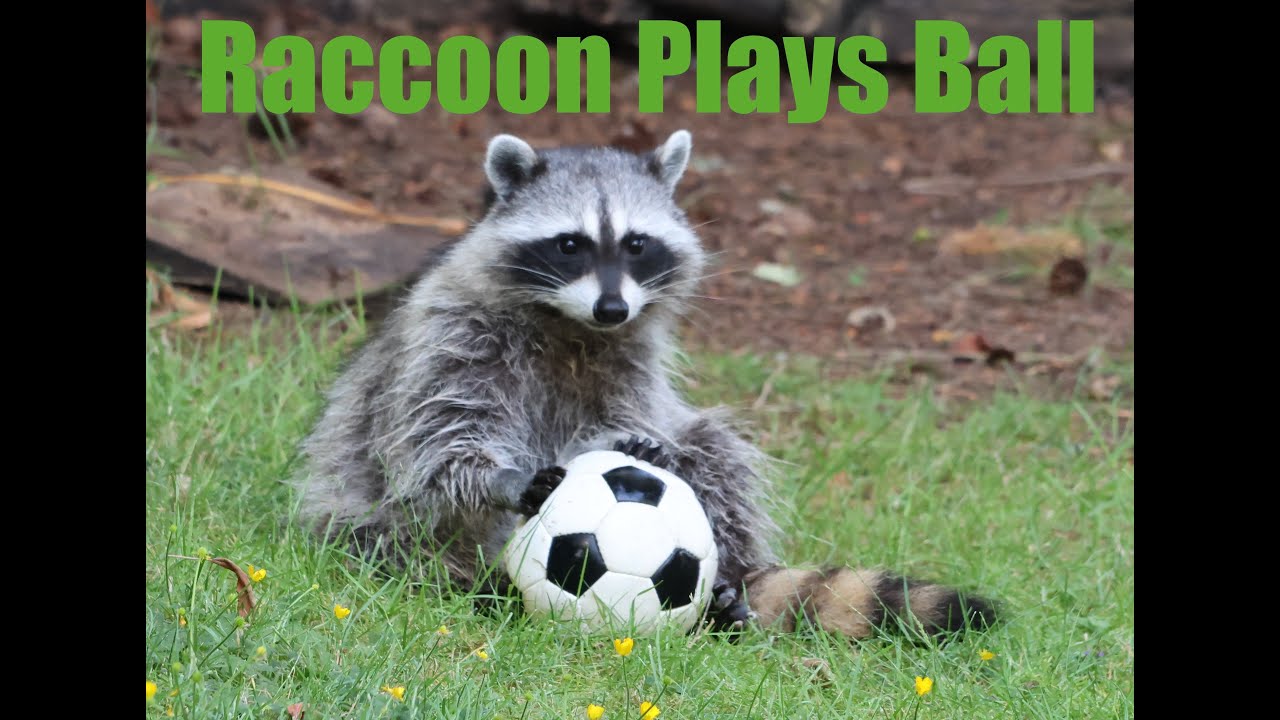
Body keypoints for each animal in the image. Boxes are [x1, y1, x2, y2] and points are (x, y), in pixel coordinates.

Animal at [295, 130, 995, 639]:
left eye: (636, 244)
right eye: (570, 244)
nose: (612, 308)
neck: (572, 323)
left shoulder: (634, 351)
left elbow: (643, 421)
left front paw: (626, 443)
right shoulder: (453, 334)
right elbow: (439, 439)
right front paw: (502, 476)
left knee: (713, 448)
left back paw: (725, 591)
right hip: (371, 522)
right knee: (400, 534)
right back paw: (481, 586)